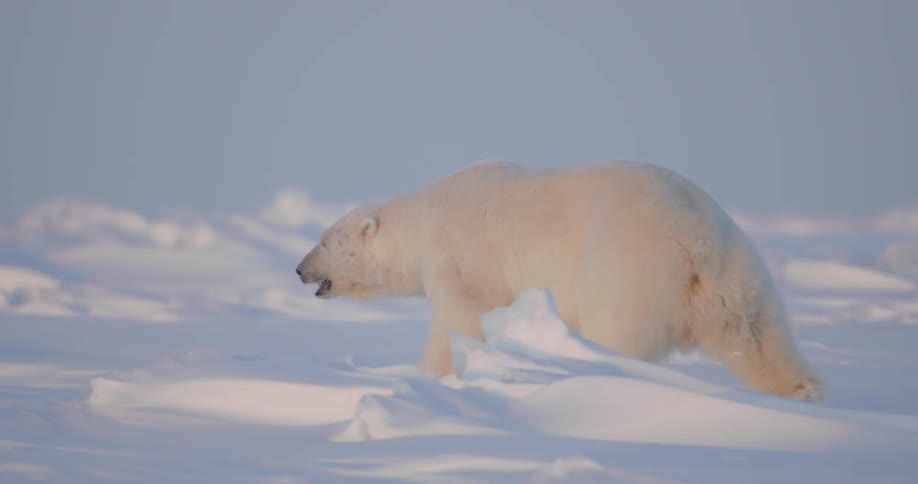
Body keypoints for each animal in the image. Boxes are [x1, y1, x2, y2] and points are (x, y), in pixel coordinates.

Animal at [295, 160, 822, 401]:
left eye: (323, 239)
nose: (299, 269)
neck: (424, 215)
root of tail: (696, 236)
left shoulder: (459, 256)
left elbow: (459, 320)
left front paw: (424, 376)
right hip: (736, 273)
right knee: (756, 337)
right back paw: (803, 392)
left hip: (626, 266)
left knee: (615, 332)